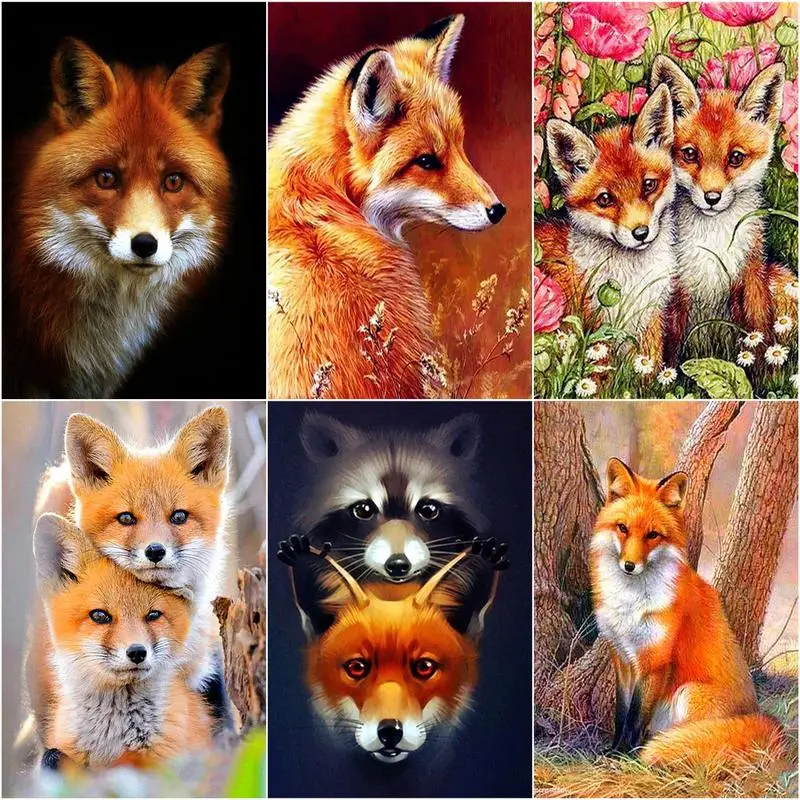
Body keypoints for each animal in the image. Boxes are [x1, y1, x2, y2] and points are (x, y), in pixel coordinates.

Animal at [539, 84, 678, 366]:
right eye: (605, 199)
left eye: (649, 185)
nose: (641, 233)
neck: (632, 278)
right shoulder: (596, 330)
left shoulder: (649, 321)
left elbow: (648, 367)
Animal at [590, 458, 786, 768]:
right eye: (622, 528)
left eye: (653, 535)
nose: (629, 566)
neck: (630, 603)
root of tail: (757, 714)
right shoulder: (621, 656)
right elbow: (622, 714)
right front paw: (613, 749)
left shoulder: (654, 661)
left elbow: (635, 717)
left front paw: (624, 756)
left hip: (687, 694)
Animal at [650, 56, 795, 361]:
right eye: (690, 154)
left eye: (736, 157)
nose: (712, 197)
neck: (713, 243)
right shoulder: (677, 289)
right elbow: (671, 349)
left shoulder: (751, 277)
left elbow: (759, 333)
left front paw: (764, 369)